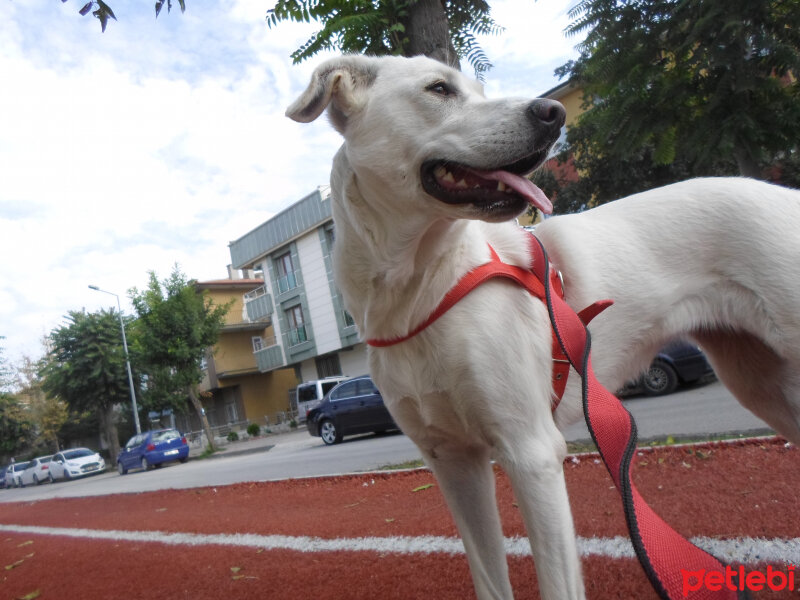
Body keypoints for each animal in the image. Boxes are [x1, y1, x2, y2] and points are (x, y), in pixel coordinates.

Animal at [288, 55, 800, 600]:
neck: (419, 294)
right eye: (439, 89)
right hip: (760, 382)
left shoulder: (531, 453)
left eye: (478, 89)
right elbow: (490, 579)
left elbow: (556, 581)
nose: (554, 113)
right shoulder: (453, 463)